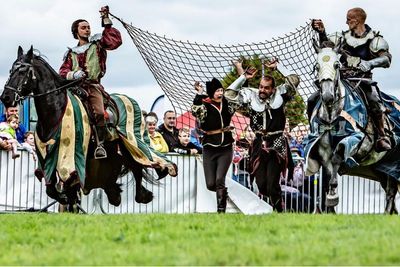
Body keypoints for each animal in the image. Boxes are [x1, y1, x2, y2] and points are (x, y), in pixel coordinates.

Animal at [1, 47, 177, 213]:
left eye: (22, 71)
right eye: (10, 71)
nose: (6, 97)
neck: (55, 112)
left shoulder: (70, 158)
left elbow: (68, 187)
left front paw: (67, 201)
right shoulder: (47, 158)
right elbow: (52, 189)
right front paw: (66, 200)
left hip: (131, 144)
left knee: (139, 165)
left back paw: (143, 194)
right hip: (113, 153)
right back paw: (115, 194)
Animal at [304, 42, 400, 215]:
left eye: (336, 65)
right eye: (317, 66)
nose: (327, 96)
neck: (332, 115)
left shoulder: (355, 141)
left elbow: (338, 155)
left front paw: (332, 196)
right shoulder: (322, 151)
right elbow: (328, 173)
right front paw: (330, 208)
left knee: (390, 192)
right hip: (381, 168)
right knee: (390, 189)